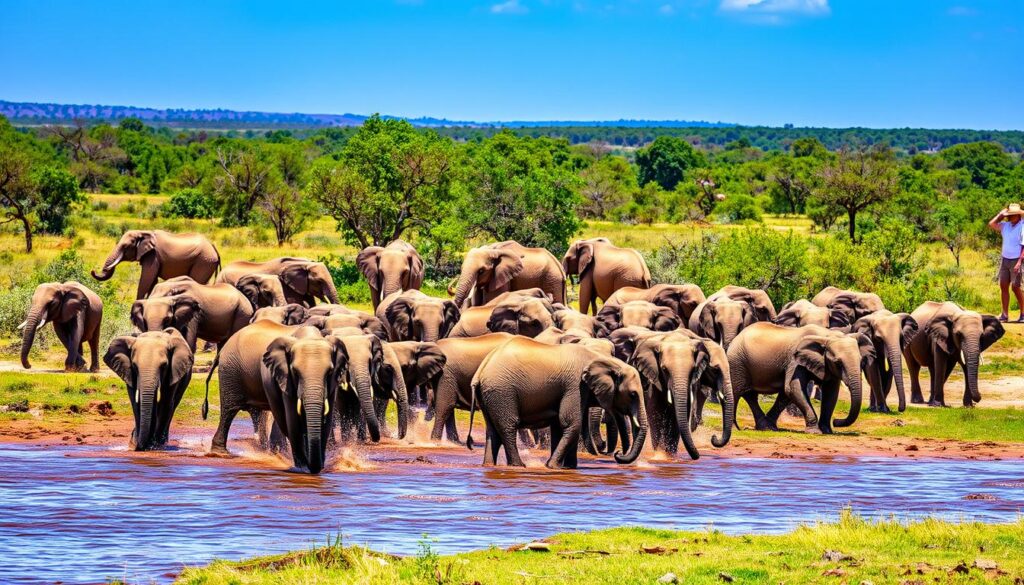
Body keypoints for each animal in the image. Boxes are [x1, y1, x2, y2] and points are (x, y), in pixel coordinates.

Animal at [92, 230, 220, 300]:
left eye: (125, 246)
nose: (93, 270)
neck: (143, 232)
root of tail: (213, 247)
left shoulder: (153, 255)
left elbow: (146, 279)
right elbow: (152, 281)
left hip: (203, 262)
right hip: (206, 262)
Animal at [468, 337, 648, 469]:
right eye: (633, 395)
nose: (618, 453)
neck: (602, 359)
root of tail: (480, 372)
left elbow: (562, 426)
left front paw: (568, 468)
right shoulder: (575, 385)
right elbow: (572, 423)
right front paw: (552, 466)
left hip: (491, 395)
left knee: (493, 431)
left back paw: (490, 465)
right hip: (502, 392)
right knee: (508, 428)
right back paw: (519, 466)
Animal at [630, 331, 733, 460]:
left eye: (693, 369)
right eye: (664, 369)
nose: (714, 438)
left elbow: (679, 415)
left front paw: (670, 456)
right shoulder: (654, 376)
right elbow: (655, 410)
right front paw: (660, 456)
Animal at [728, 323, 873, 434]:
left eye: (862, 362)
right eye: (838, 363)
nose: (836, 421)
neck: (826, 335)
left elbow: (831, 393)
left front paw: (827, 431)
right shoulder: (794, 361)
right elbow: (793, 387)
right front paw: (815, 432)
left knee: (755, 395)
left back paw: (768, 428)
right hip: (737, 362)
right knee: (737, 392)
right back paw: (736, 429)